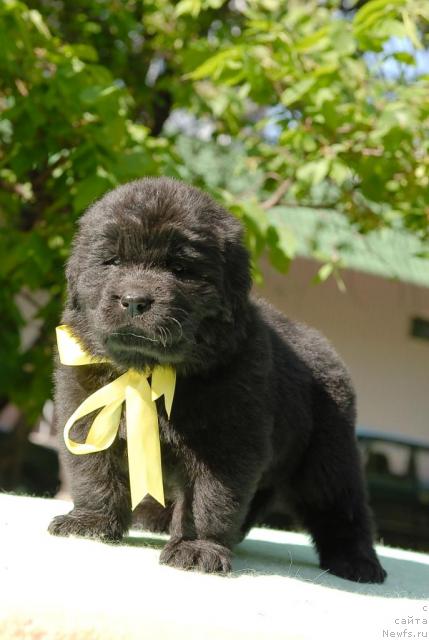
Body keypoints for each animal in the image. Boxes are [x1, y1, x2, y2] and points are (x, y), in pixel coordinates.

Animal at [49, 178, 384, 584]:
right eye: (112, 261)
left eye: (180, 268)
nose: (134, 300)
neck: (150, 371)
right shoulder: (87, 415)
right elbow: (96, 474)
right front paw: (91, 523)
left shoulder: (225, 443)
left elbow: (209, 499)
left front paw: (196, 548)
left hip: (326, 457)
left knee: (343, 507)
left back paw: (357, 562)